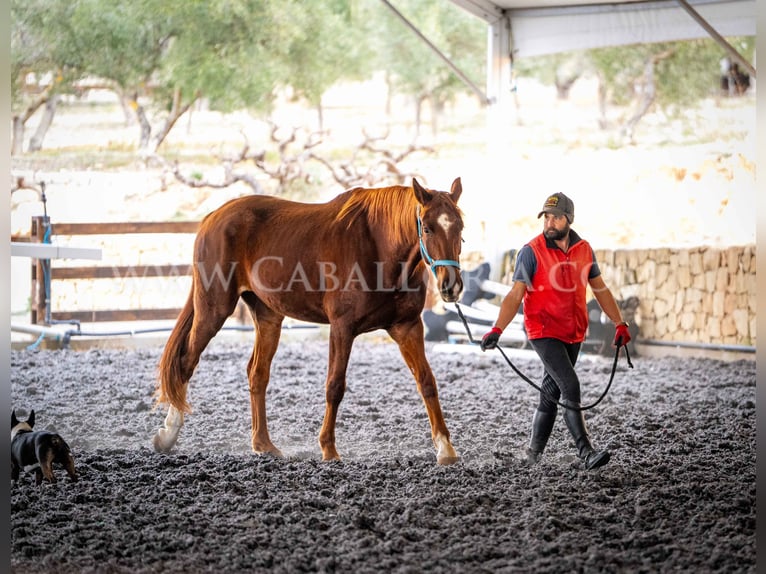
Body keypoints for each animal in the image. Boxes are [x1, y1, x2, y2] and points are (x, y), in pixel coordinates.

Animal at [154, 178, 468, 466]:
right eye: (427, 228)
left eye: (460, 228)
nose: (450, 286)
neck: (378, 249)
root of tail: (214, 217)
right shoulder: (342, 328)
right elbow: (335, 386)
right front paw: (328, 449)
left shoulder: (407, 327)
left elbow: (427, 382)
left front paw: (445, 448)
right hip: (213, 310)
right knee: (186, 362)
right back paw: (168, 434)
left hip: (268, 316)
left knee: (257, 374)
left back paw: (263, 444)